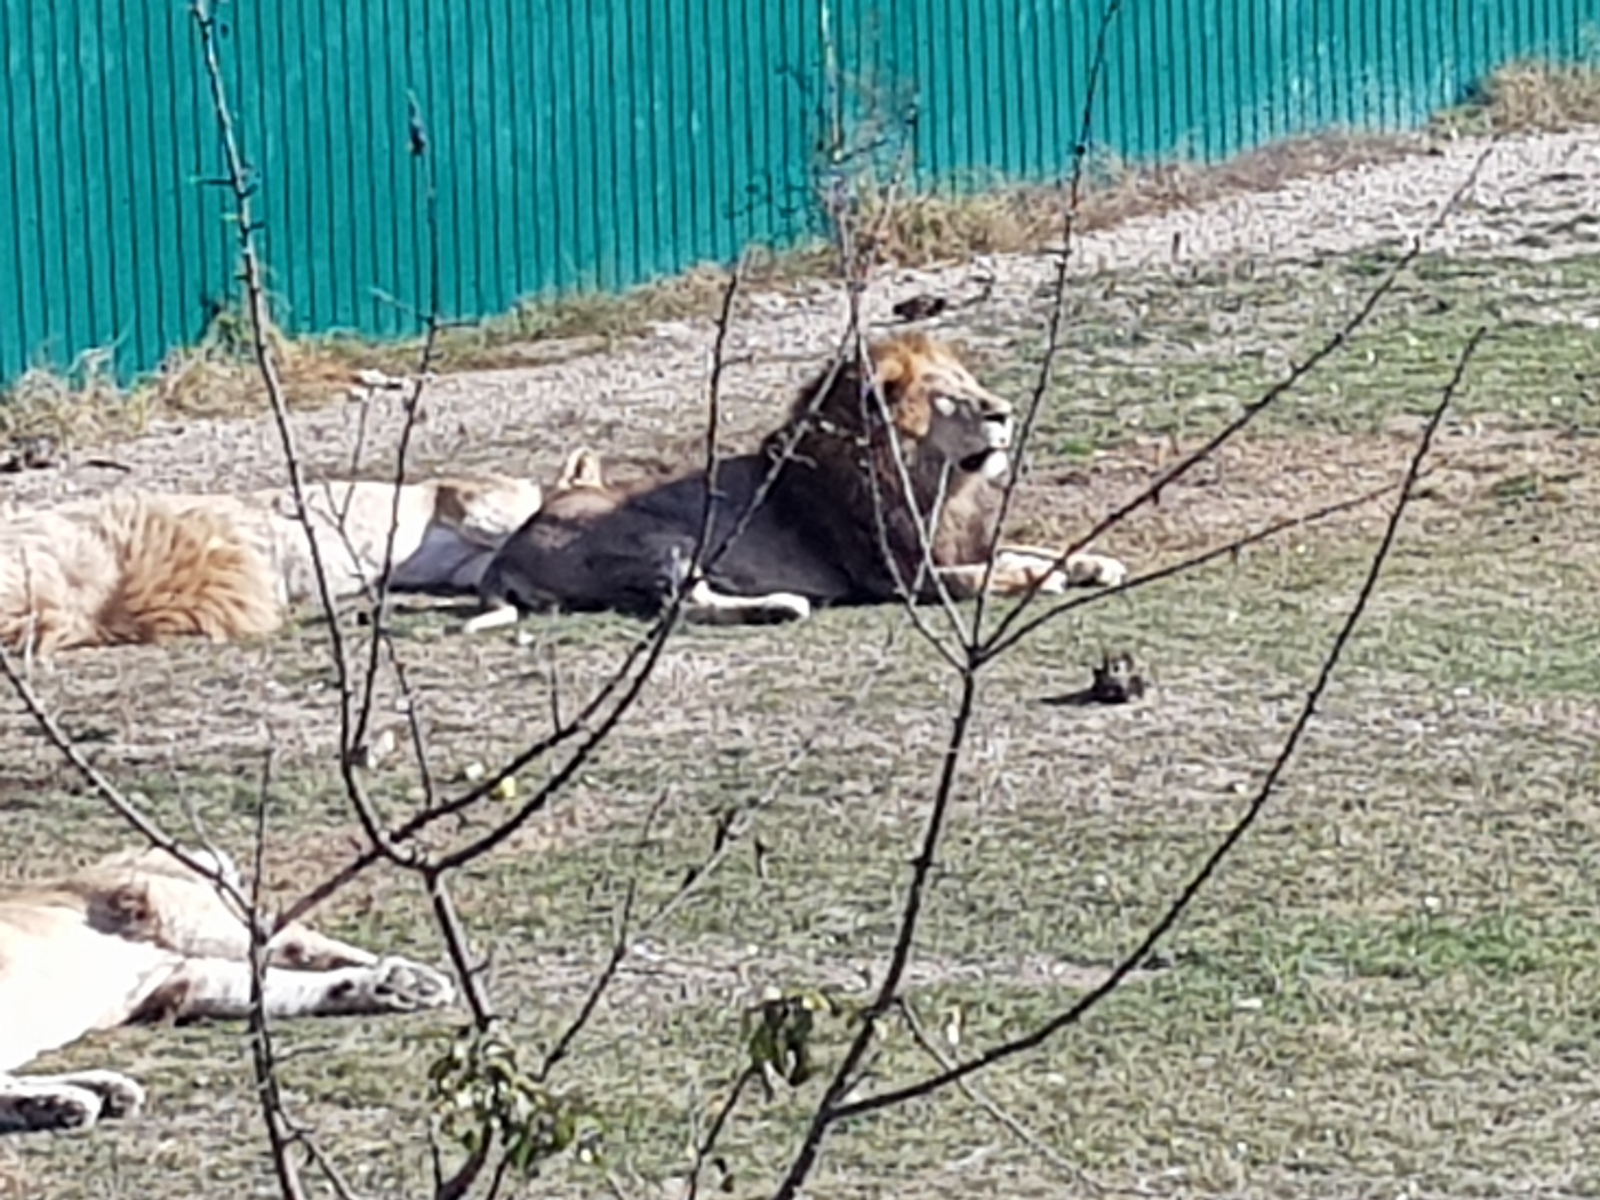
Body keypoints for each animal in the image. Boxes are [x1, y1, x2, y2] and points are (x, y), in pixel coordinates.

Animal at [3, 844, 460, 1139]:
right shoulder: (192, 928)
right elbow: (299, 946)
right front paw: (413, 979)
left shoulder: (176, 977)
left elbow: (285, 987)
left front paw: (400, 986)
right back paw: (66, 1101)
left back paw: (90, 1095)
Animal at [467, 329, 1132, 630]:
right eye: (946, 399)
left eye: (970, 385)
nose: (1004, 412)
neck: (938, 483)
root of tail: (508, 551)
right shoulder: (900, 576)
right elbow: (989, 571)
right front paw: (1041, 577)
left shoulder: (952, 541)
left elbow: (1029, 547)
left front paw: (1095, 561)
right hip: (661, 535)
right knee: (683, 605)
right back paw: (783, 604)